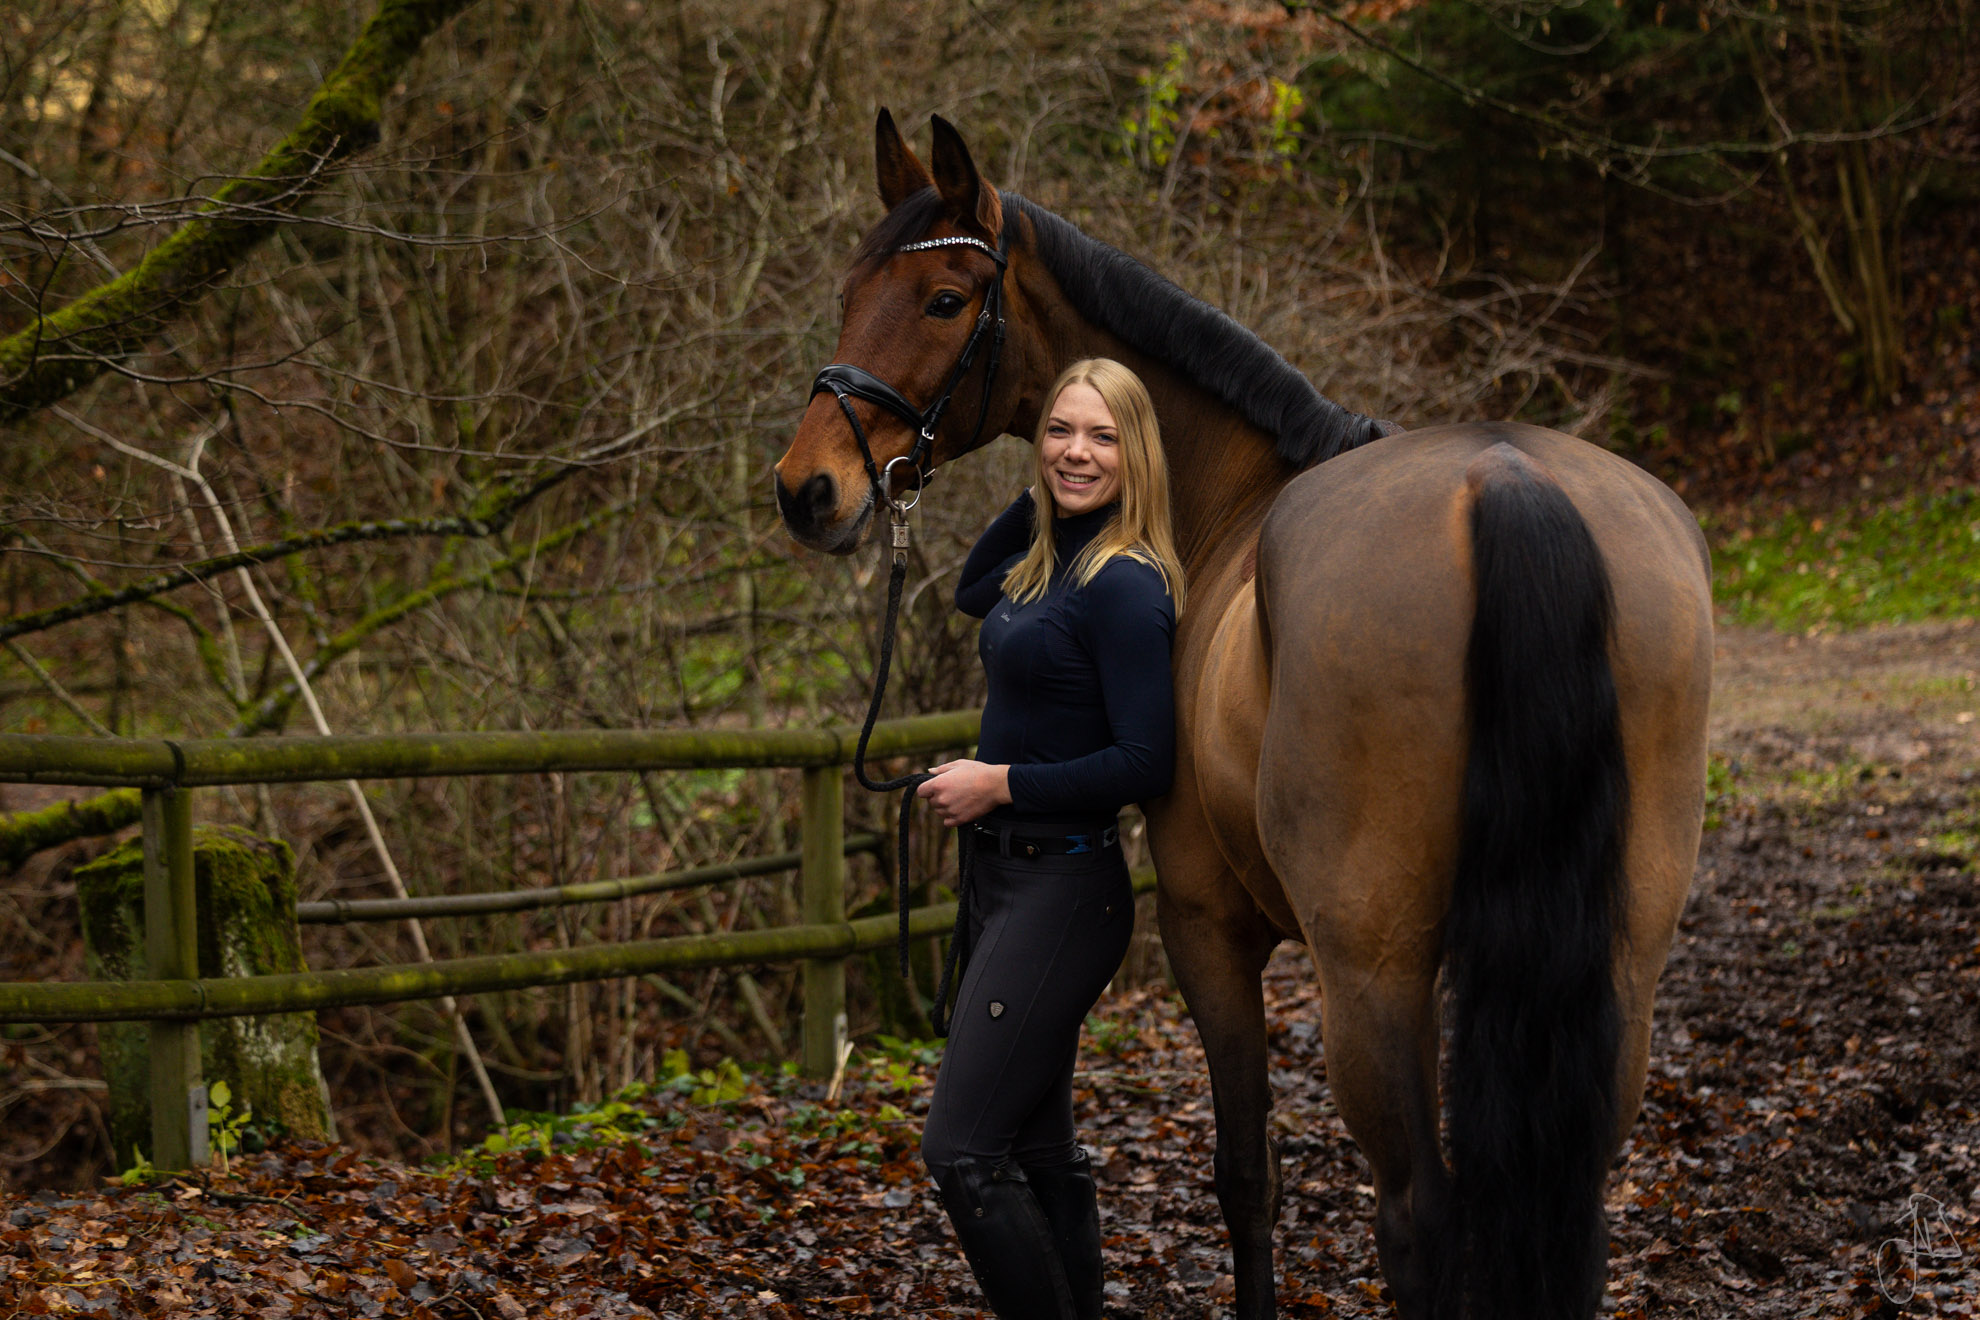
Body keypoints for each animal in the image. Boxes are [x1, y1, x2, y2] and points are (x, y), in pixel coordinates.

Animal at [774, 111, 1712, 1320]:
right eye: (851, 291)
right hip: (1620, 962)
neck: (1228, 503)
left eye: (942, 302)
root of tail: (1506, 481)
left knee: (1416, 1215)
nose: (808, 489)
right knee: (1570, 1201)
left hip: (1370, 973)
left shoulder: (1206, 926)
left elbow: (1246, 1173)